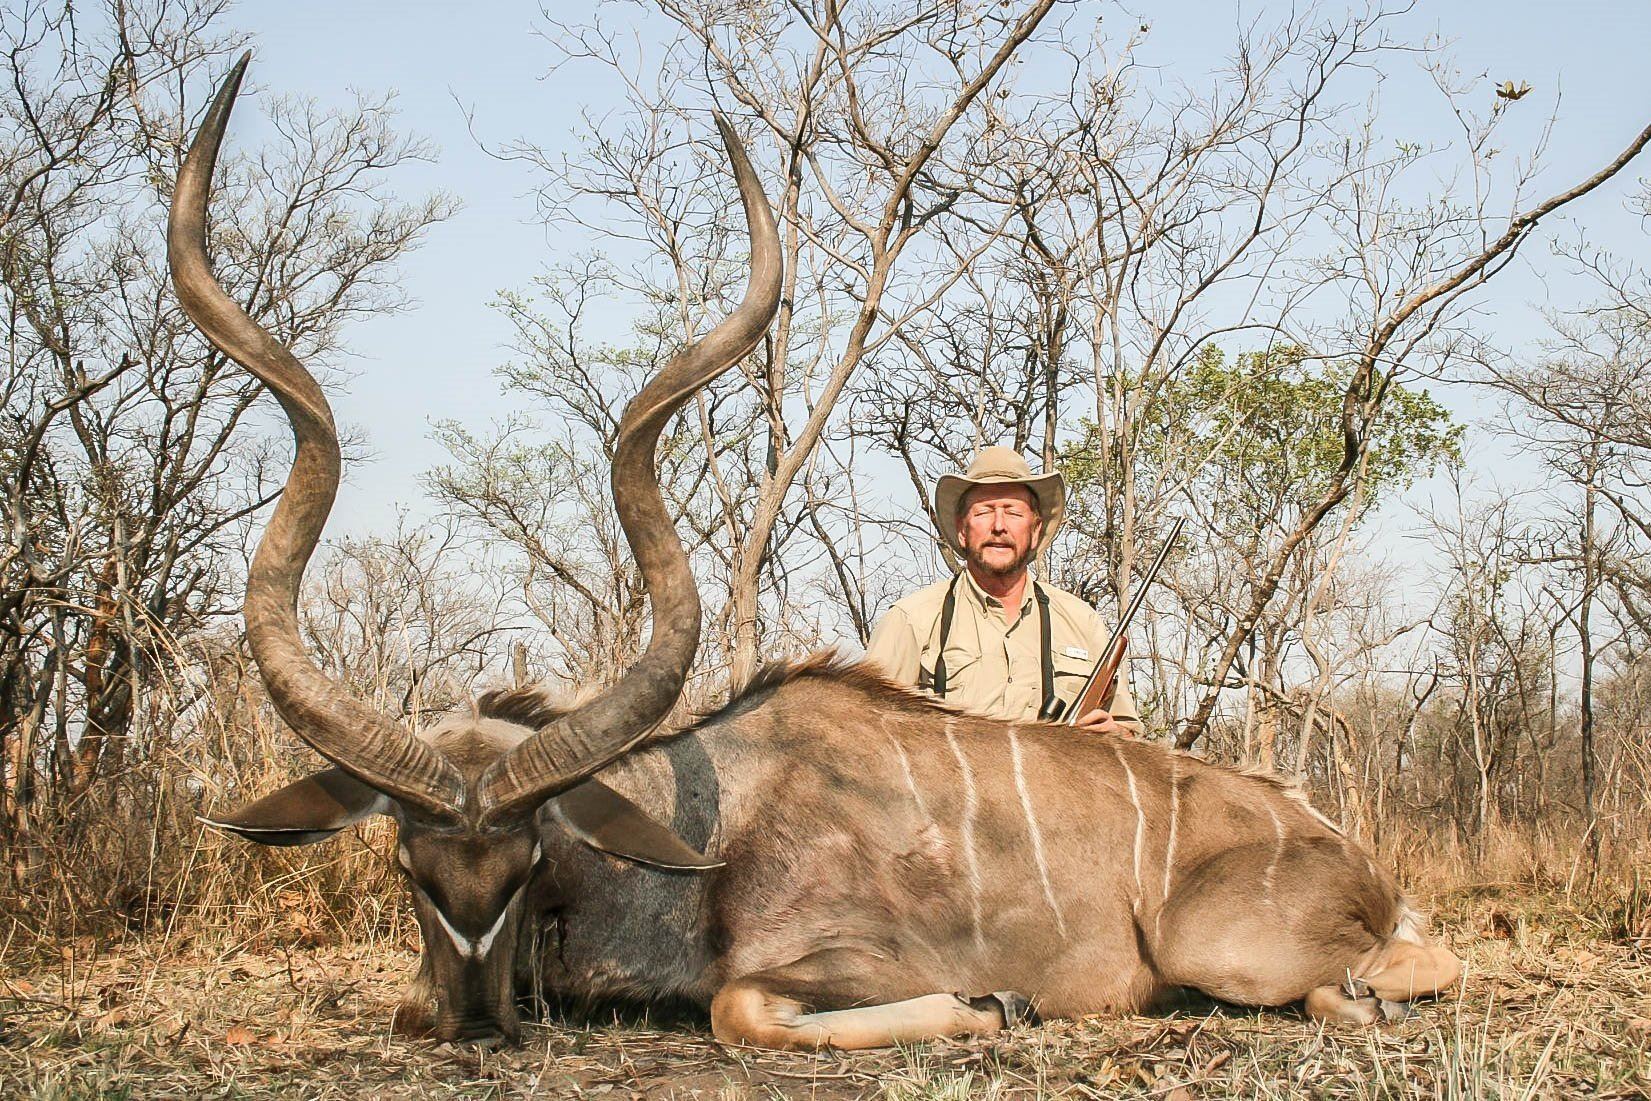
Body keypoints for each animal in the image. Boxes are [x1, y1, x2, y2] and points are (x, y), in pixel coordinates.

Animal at [182, 56, 1461, 1050]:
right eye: (408, 865)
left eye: (530, 854)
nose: (466, 1017)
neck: (702, 832)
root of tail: (1346, 852)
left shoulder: (834, 959)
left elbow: (739, 1005)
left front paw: (993, 1002)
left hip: (1230, 951)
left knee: (1381, 976)